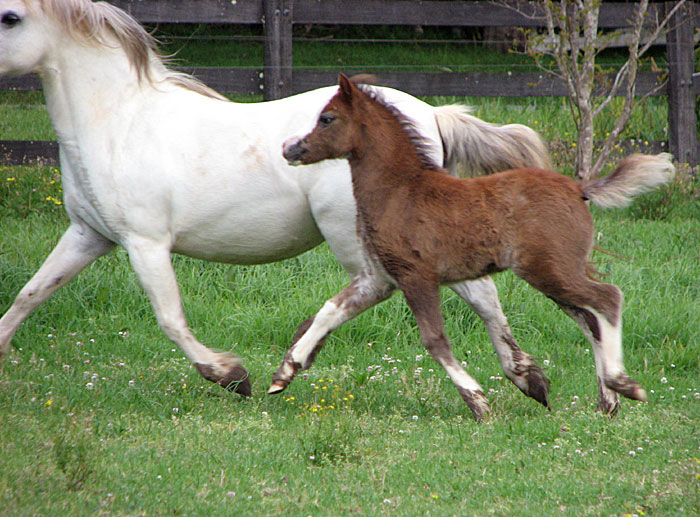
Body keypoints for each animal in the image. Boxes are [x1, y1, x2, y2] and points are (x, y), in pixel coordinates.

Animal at [0, 0, 552, 397]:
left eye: (11, 17)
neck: (120, 121)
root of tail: (431, 115)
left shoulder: (145, 242)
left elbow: (170, 319)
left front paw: (231, 375)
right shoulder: (88, 235)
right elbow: (27, 296)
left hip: (353, 232)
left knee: (373, 287)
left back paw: (291, 365)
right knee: (481, 293)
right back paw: (526, 377)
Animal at [278, 74, 675, 420]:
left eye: (327, 118)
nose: (289, 148)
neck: (400, 191)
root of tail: (580, 190)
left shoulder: (416, 276)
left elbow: (434, 340)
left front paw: (479, 403)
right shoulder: (380, 278)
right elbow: (331, 310)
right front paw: (284, 372)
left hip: (550, 271)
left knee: (608, 298)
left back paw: (623, 384)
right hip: (556, 273)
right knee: (591, 316)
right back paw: (609, 400)